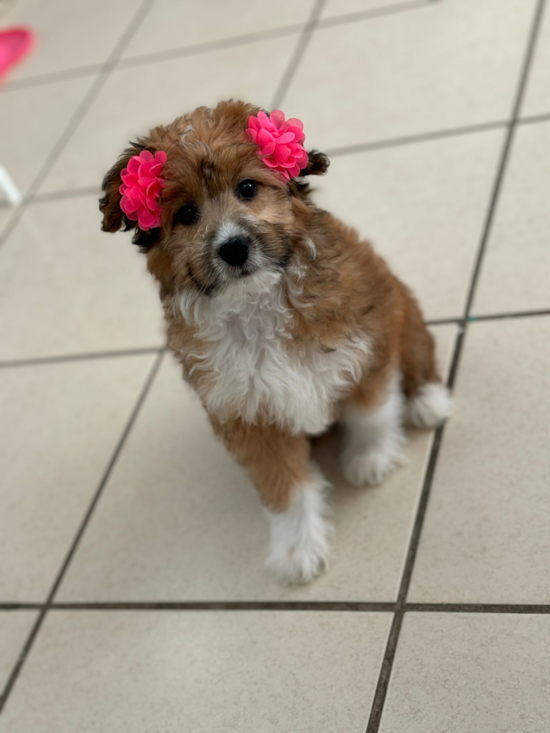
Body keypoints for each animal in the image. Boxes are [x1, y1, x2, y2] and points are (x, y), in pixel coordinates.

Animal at [99, 101, 452, 584]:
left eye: (247, 188)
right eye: (186, 214)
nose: (233, 247)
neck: (257, 306)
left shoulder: (366, 339)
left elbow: (370, 408)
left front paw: (371, 457)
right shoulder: (249, 418)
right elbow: (286, 486)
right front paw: (297, 549)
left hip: (400, 302)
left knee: (417, 349)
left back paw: (427, 400)